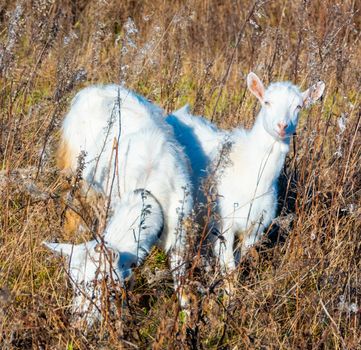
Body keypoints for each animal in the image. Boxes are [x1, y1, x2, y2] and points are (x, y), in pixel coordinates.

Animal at [43, 84, 193, 322]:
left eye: (99, 284)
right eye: (75, 286)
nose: (78, 320)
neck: (150, 192)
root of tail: (94, 87)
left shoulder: (180, 234)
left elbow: (183, 287)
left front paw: (188, 322)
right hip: (75, 175)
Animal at [167, 72, 324, 274]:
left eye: (298, 106)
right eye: (267, 102)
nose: (282, 126)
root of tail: (178, 113)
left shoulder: (255, 229)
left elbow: (240, 261)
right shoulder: (223, 225)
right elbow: (229, 268)